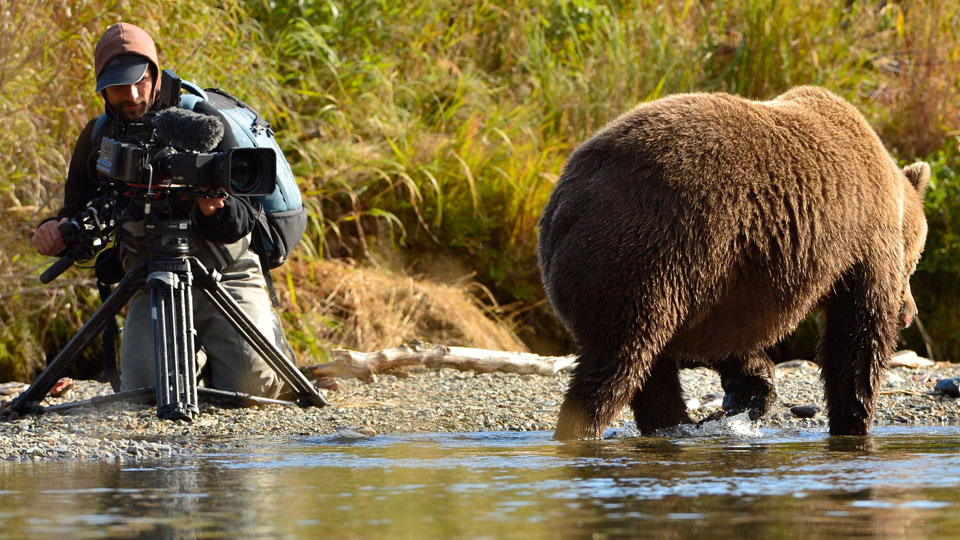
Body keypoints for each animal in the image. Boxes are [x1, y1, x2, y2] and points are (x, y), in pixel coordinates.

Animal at [536, 84, 928, 438]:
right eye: (914, 262)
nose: (909, 312)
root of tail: (562, 204)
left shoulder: (732, 276)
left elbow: (727, 334)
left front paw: (752, 388)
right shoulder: (861, 243)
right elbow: (858, 336)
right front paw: (854, 420)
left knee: (652, 367)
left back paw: (673, 425)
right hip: (644, 253)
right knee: (618, 359)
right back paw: (584, 429)